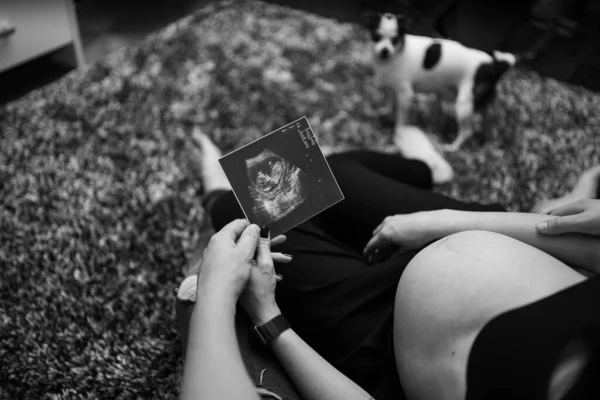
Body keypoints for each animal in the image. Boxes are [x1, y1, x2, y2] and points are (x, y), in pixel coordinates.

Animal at [366, 13, 520, 152]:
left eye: (395, 39)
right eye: (376, 36)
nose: (385, 51)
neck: (396, 54)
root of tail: (494, 64)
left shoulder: (406, 95)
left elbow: (401, 118)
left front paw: (398, 133)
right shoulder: (391, 88)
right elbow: (390, 101)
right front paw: (385, 111)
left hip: (463, 105)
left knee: (467, 132)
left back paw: (452, 147)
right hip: (482, 102)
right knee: (490, 124)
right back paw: (490, 144)